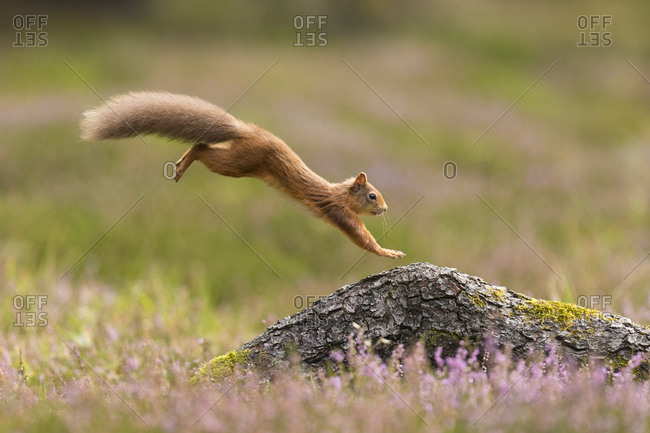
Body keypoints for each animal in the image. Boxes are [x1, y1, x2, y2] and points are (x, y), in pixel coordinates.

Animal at [80, 91, 405, 259]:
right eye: (373, 195)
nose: (385, 208)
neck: (342, 194)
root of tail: (247, 130)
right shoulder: (340, 213)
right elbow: (362, 239)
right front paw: (388, 253)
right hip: (236, 164)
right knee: (201, 147)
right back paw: (184, 164)